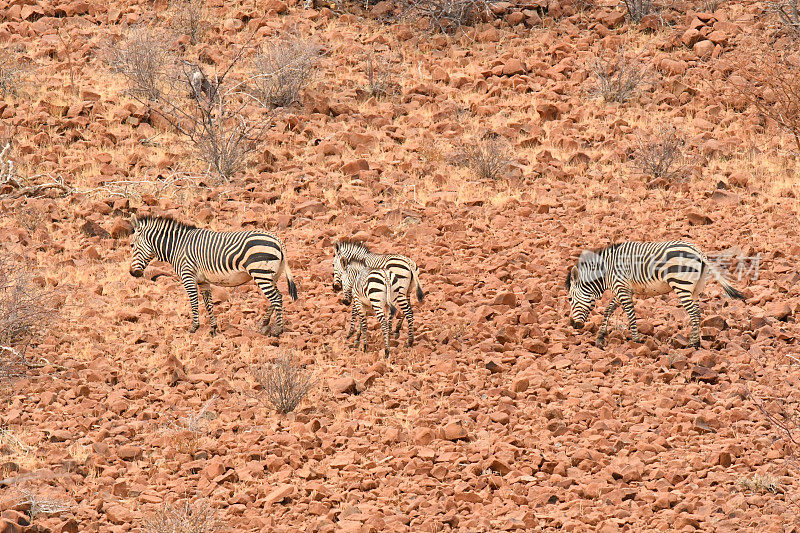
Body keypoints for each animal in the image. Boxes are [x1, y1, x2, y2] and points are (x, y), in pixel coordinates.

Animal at [128, 214, 296, 334]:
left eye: (131, 245)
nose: (132, 273)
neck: (178, 246)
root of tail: (278, 240)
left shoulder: (188, 276)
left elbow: (194, 302)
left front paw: (194, 327)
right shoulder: (203, 281)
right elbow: (208, 303)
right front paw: (213, 328)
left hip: (261, 273)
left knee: (276, 298)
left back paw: (278, 330)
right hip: (272, 275)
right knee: (278, 296)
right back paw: (264, 323)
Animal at [564, 240, 748, 348]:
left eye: (570, 299)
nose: (573, 324)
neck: (607, 270)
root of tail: (699, 252)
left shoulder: (621, 287)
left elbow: (630, 313)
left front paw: (636, 339)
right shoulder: (622, 289)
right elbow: (609, 310)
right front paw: (601, 337)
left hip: (681, 283)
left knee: (693, 314)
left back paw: (692, 344)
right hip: (696, 287)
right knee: (697, 312)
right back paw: (695, 342)